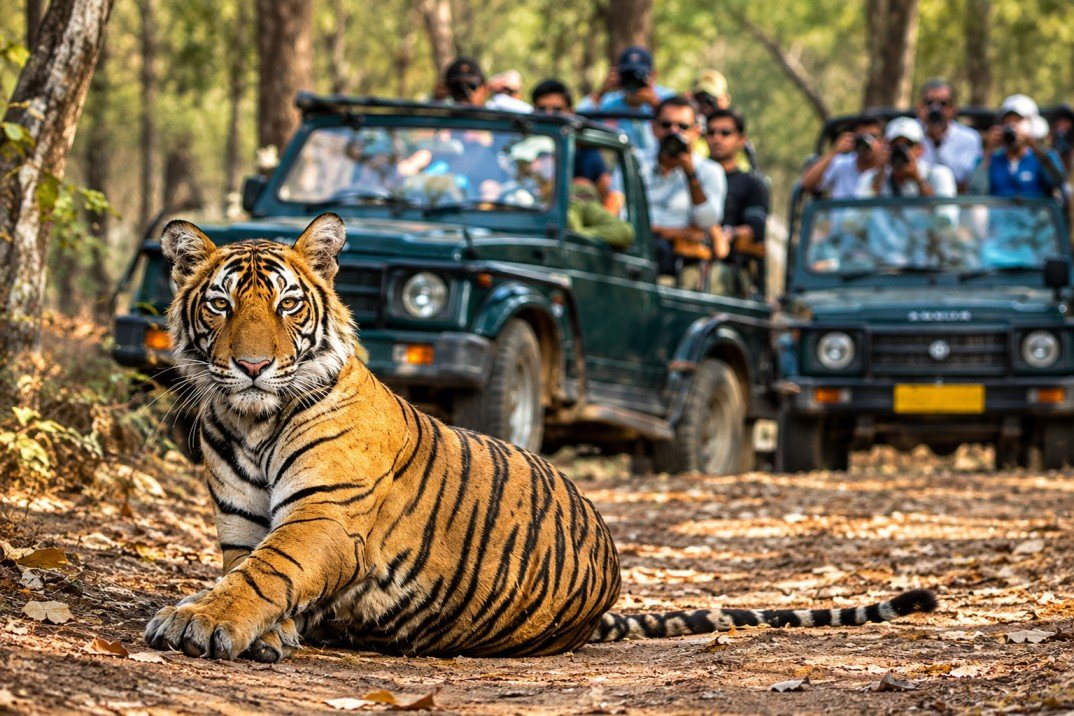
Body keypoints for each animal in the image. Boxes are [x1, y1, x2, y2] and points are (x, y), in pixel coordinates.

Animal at [144, 213, 937, 662]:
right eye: (219, 306)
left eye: (286, 305)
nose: (252, 366)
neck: (250, 422)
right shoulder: (241, 521)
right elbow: (248, 571)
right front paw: (257, 628)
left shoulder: (326, 517)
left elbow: (264, 574)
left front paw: (199, 621)